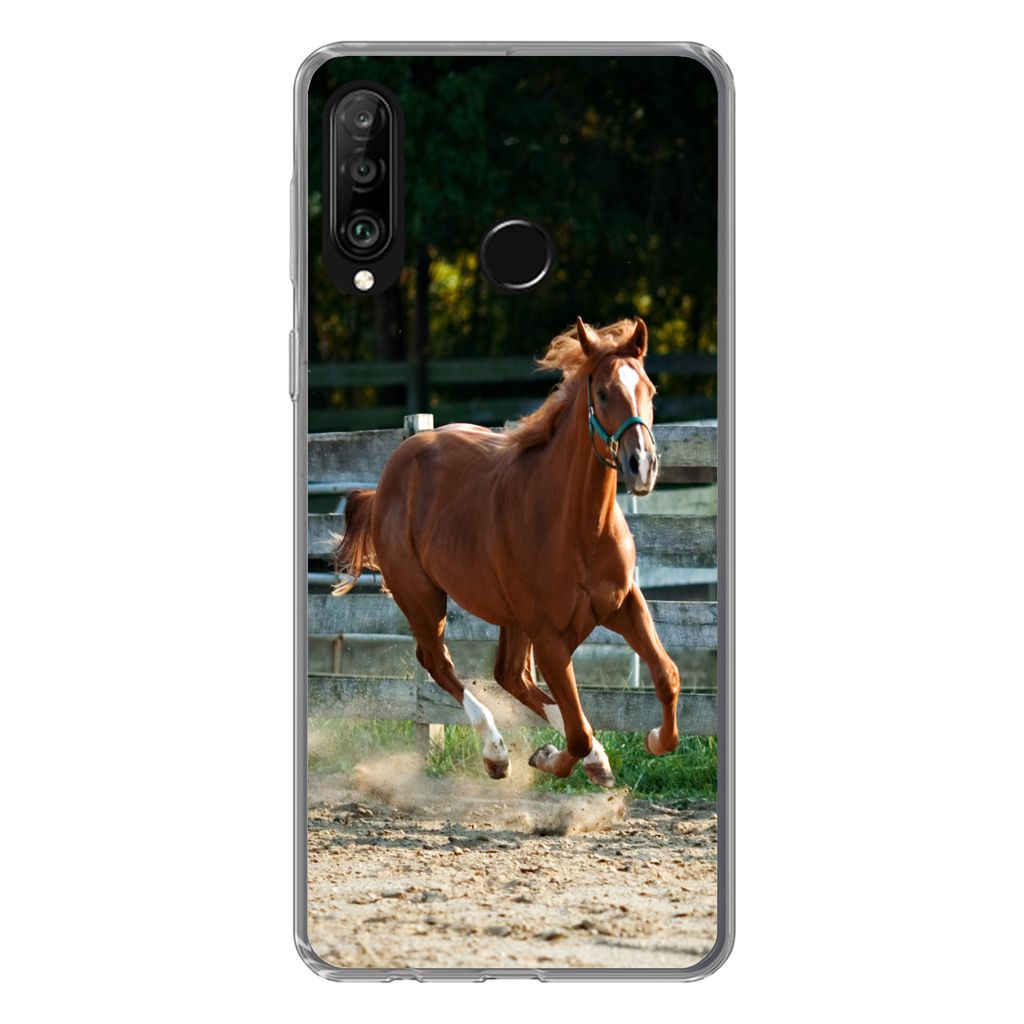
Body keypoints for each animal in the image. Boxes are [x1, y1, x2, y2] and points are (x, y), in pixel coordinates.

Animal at [332, 316, 681, 787]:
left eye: (649, 389)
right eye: (604, 393)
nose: (641, 466)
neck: (578, 528)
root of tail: (389, 477)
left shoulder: (624, 604)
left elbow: (666, 676)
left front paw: (653, 741)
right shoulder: (549, 635)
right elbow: (577, 732)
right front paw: (550, 757)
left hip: (510, 619)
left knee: (509, 675)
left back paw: (588, 759)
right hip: (423, 598)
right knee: (438, 662)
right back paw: (496, 753)